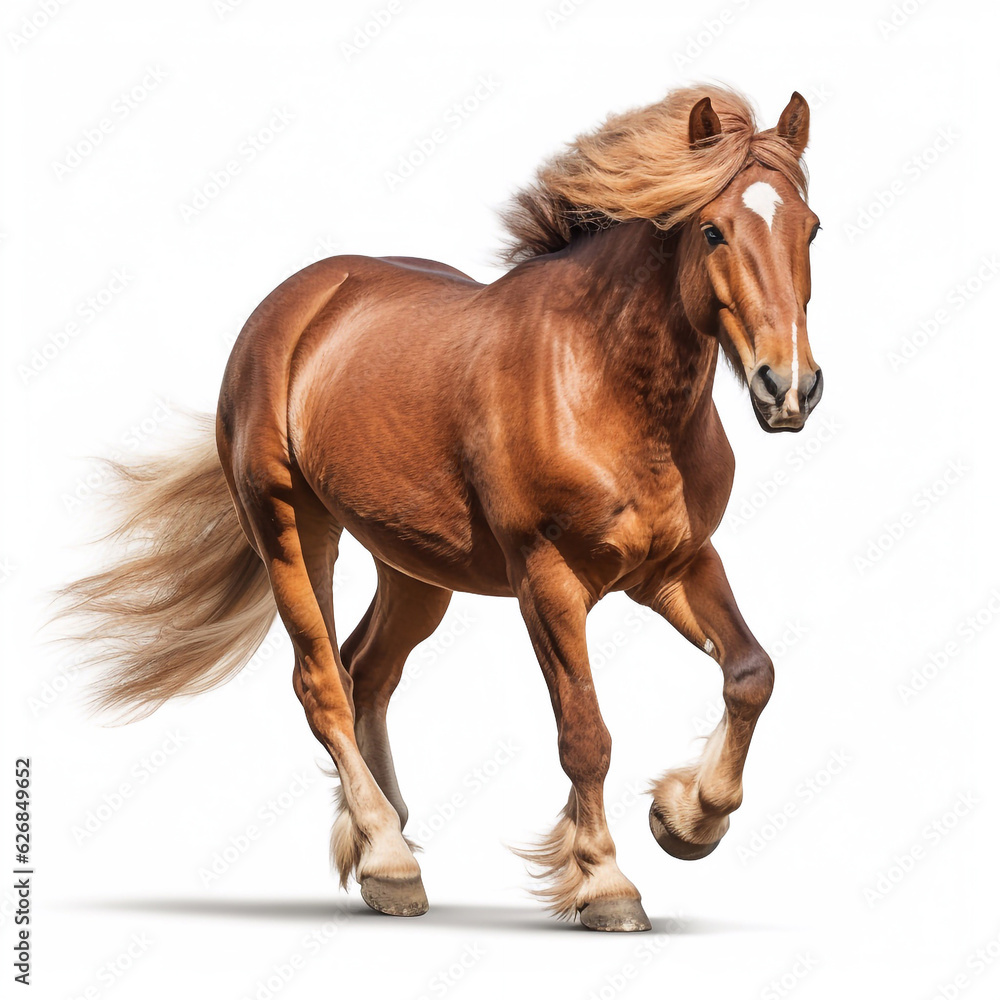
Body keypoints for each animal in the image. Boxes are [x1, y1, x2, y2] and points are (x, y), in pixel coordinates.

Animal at [61, 85, 822, 932]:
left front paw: (687, 820)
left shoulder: (676, 565)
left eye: (810, 226)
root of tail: (293, 304)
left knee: (367, 669)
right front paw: (606, 883)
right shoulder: (547, 582)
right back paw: (388, 860)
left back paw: (383, 834)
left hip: (415, 568)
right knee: (322, 683)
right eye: (714, 229)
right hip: (290, 527)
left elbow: (752, 673)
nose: (788, 387)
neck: (600, 380)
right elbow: (585, 735)